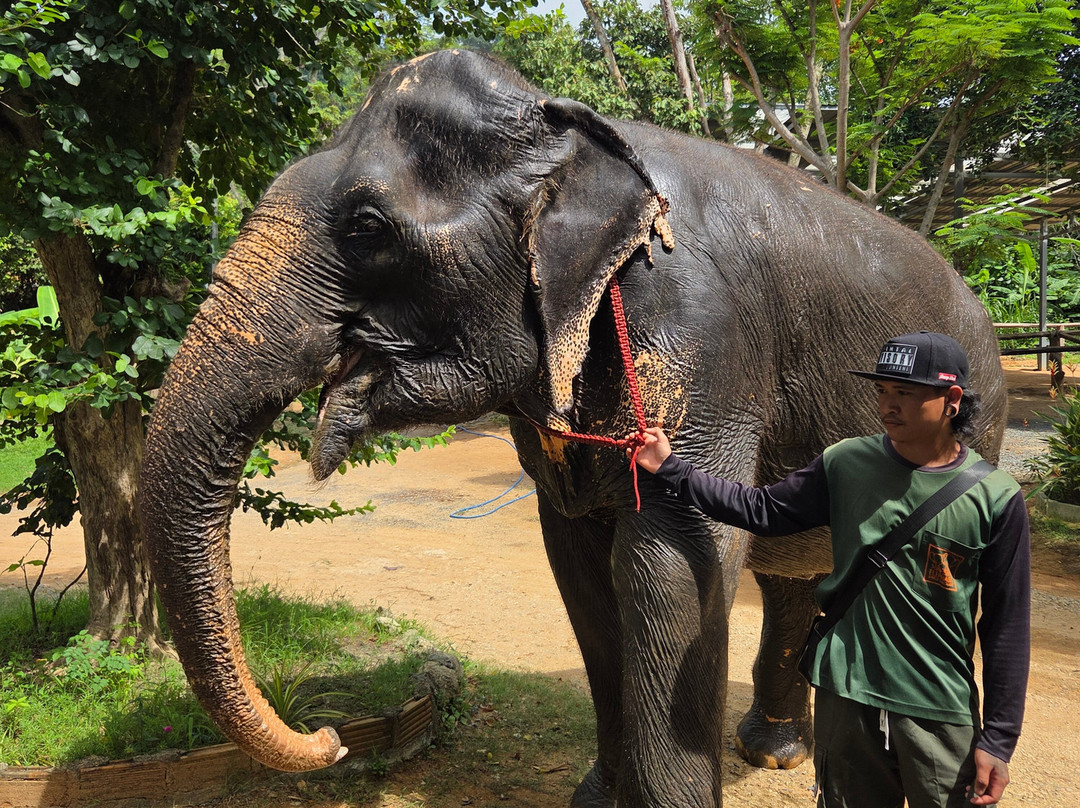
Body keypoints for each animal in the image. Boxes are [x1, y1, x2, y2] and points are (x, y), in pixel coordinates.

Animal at [138, 49, 1005, 807]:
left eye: (367, 226)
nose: (329, 739)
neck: (567, 130)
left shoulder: (702, 339)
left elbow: (668, 568)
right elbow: (583, 569)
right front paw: (598, 797)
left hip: (979, 417)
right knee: (790, 572)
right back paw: (773, 750)